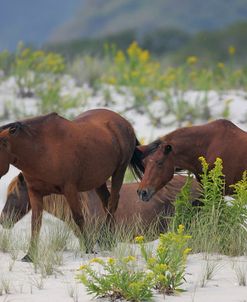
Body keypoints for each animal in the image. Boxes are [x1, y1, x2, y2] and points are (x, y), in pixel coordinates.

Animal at [0, 108, 143, 260]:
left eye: (13, 196)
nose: (3, 220)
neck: (41, 150)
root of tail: (124, 122)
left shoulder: (70, 189)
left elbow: (79, 217)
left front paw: (89, 248)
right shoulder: (35, 192)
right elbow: (36, 223)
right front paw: (30, 255)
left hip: (119, 172)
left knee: (113, 203)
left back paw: (105, 238)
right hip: (98, 181)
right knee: (107, 201)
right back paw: (109, 239)